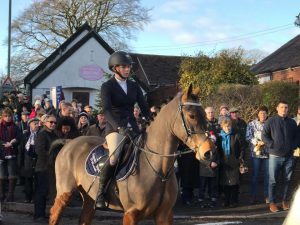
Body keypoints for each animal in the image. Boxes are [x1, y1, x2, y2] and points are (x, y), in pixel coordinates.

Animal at [50, 85, 217, 225]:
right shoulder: (131, 213)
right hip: (64, 192)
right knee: (54, 214)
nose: (209, 152)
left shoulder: (165, 214)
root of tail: (69, 142)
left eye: (204, 114)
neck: (158, 167)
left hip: (89, 198)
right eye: (192, 116)